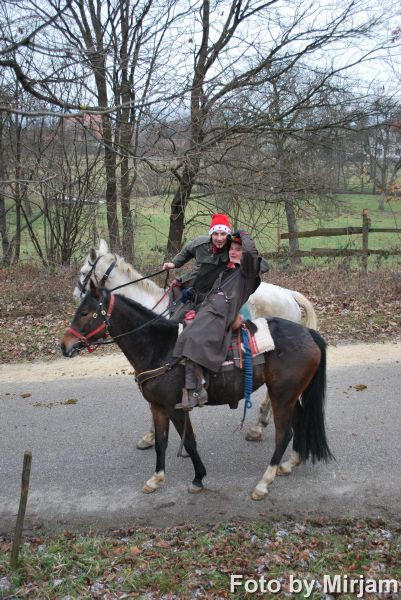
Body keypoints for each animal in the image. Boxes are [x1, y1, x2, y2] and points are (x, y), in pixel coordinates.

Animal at [61, 284, 332, 500]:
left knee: (283, 434)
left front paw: (198, 478)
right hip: (290, 395)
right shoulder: (158, 407)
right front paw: (156, 478)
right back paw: (291, 462)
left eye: (84, 312)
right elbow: (161, 443)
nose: (64, 346)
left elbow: (189, 442)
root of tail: (308, 333)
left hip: (282, 397)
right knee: (299, 422)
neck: (160, 348)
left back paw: (264, 482)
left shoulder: (176, 408)